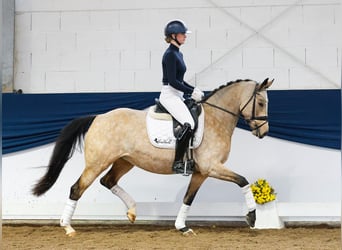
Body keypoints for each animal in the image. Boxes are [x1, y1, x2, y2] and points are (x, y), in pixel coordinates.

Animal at [31, 78, 272, 236]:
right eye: (261, 103)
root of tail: (97, 117)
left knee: (108, 181)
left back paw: (132, 211)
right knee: (77, 188)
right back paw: (68, 226)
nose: (264, 132)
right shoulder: (212, 167)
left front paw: (182, 227)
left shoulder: (201, 172)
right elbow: (243, 181)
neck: (216, 117)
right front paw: (252, 217)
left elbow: (188, 198)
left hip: (124, 161)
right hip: (97, 163)